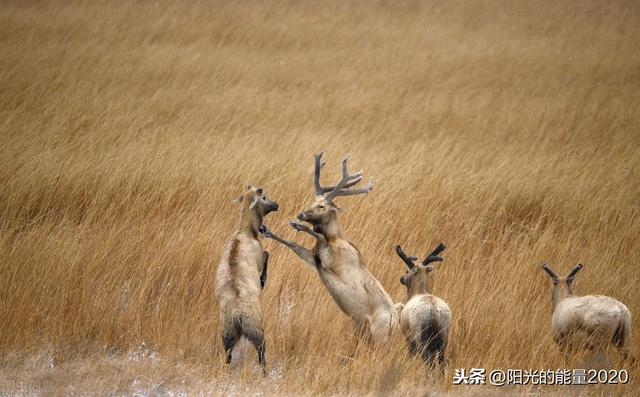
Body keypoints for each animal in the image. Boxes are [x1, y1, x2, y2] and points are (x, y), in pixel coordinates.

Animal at [214, 184, 278, 372]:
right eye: (263, 197)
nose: (276, 204)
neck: (247, 231)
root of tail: (238, 315)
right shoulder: (260, 257)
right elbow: (266, 254)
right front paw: (263, 280)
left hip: (226, 334)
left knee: (228, 356)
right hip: (256, 330)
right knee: (262, 354)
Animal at [256, 152, 398, 344]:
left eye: (322, 205)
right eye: (313, 200)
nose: (301, 214)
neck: (336, 239)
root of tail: (397, 326)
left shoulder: (334, 262)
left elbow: (318, 236)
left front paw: (299, 226)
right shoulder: (314, 258)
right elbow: (293, 244)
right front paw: (266, 229)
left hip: (379, 335)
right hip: (362, 330)